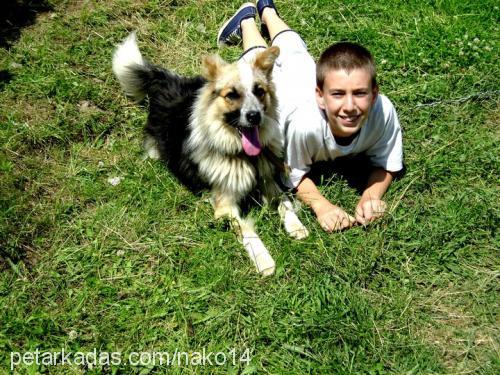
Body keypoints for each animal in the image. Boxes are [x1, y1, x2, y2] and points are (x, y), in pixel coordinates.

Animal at [113, 33, 308, 276]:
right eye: (231, 95)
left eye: (259, 91)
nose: (254, 116)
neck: (244, 155)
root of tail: (167, 82)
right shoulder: (225, 205)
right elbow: (248, 231)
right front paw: (264, 260)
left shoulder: (268, 178)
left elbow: (284, 200)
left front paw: (296, 225)